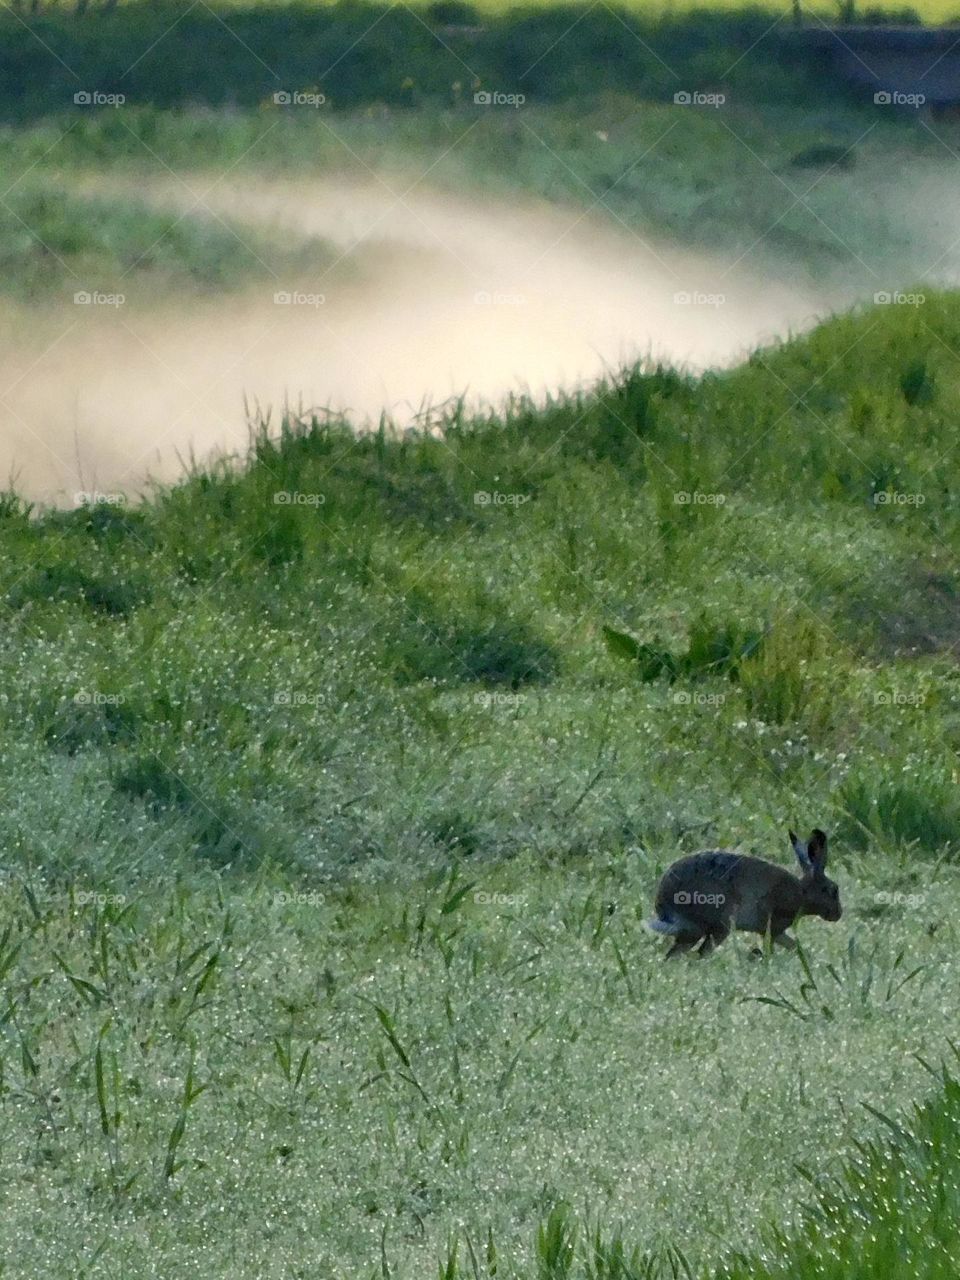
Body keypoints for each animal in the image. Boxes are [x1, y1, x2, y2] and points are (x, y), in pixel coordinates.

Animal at [648, 828, 841, 958]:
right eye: (833, 890)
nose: (838, 914)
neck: (802, 892)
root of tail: (665, 908)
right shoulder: (772, 926)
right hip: (721, 924)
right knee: (702, 952)